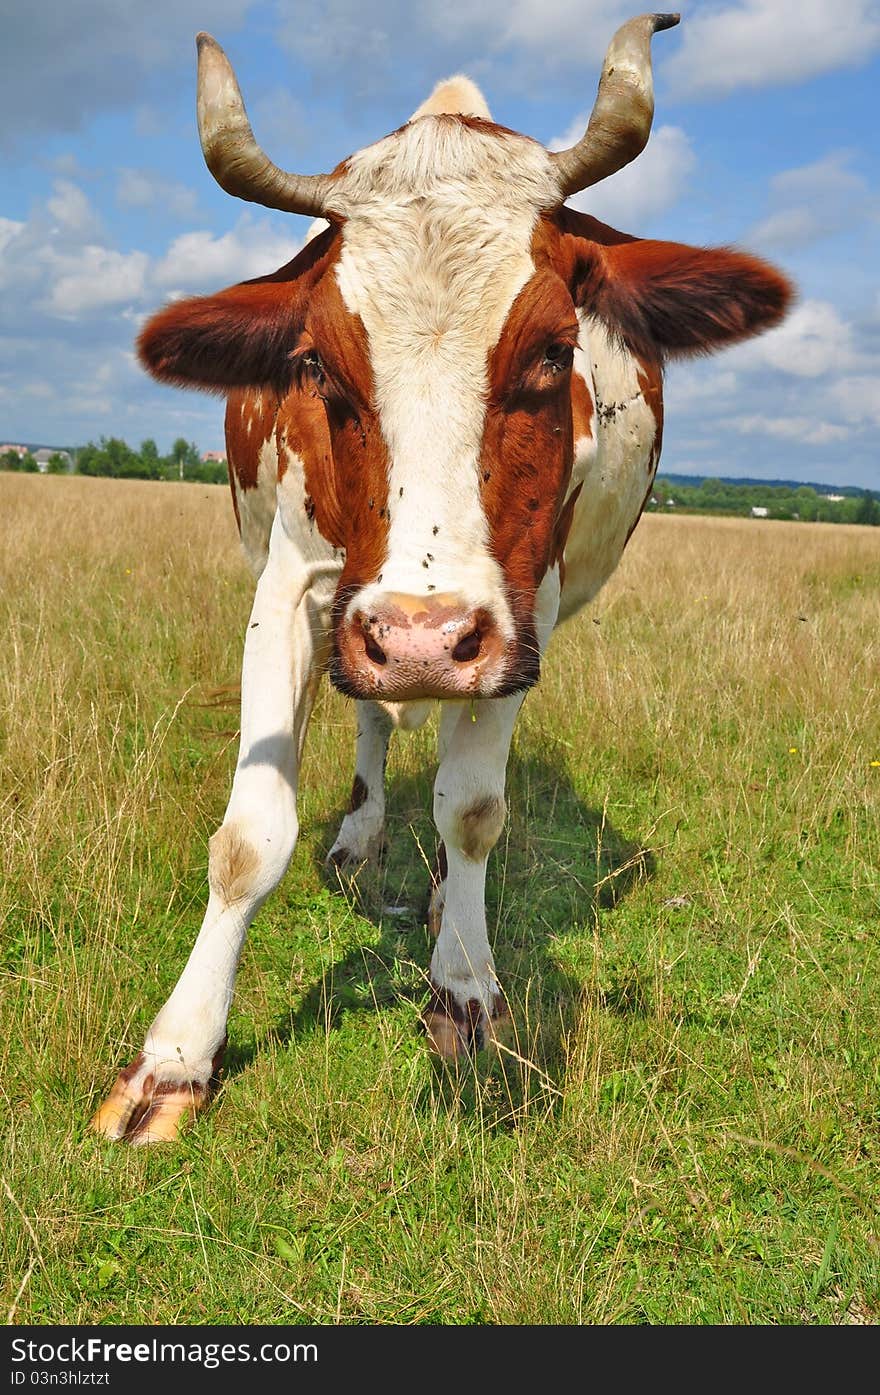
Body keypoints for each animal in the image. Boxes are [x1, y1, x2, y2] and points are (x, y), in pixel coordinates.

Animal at [92, 13, 797, 1143]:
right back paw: (361, 836)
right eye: (315, 364)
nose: (422, 638)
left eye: (554, 351)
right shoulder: (295, 589)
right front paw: (177, 1056)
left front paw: (462, 982)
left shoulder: (520, 614)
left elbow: (471, 809)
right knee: (373, 720)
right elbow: (250, 835)